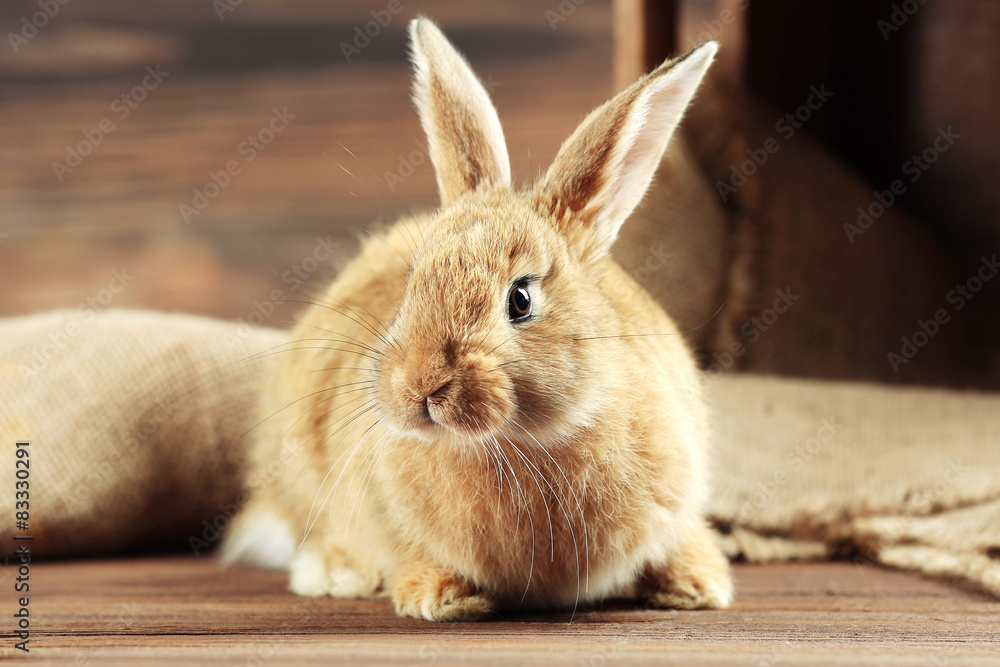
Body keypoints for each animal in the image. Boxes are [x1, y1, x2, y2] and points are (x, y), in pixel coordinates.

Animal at [222, 17, 732, 621]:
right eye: (412, 280)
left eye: (521, 299)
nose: (417, 385)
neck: (521, 445)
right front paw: (437, 597)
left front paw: (701, 586)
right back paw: (334, 574)